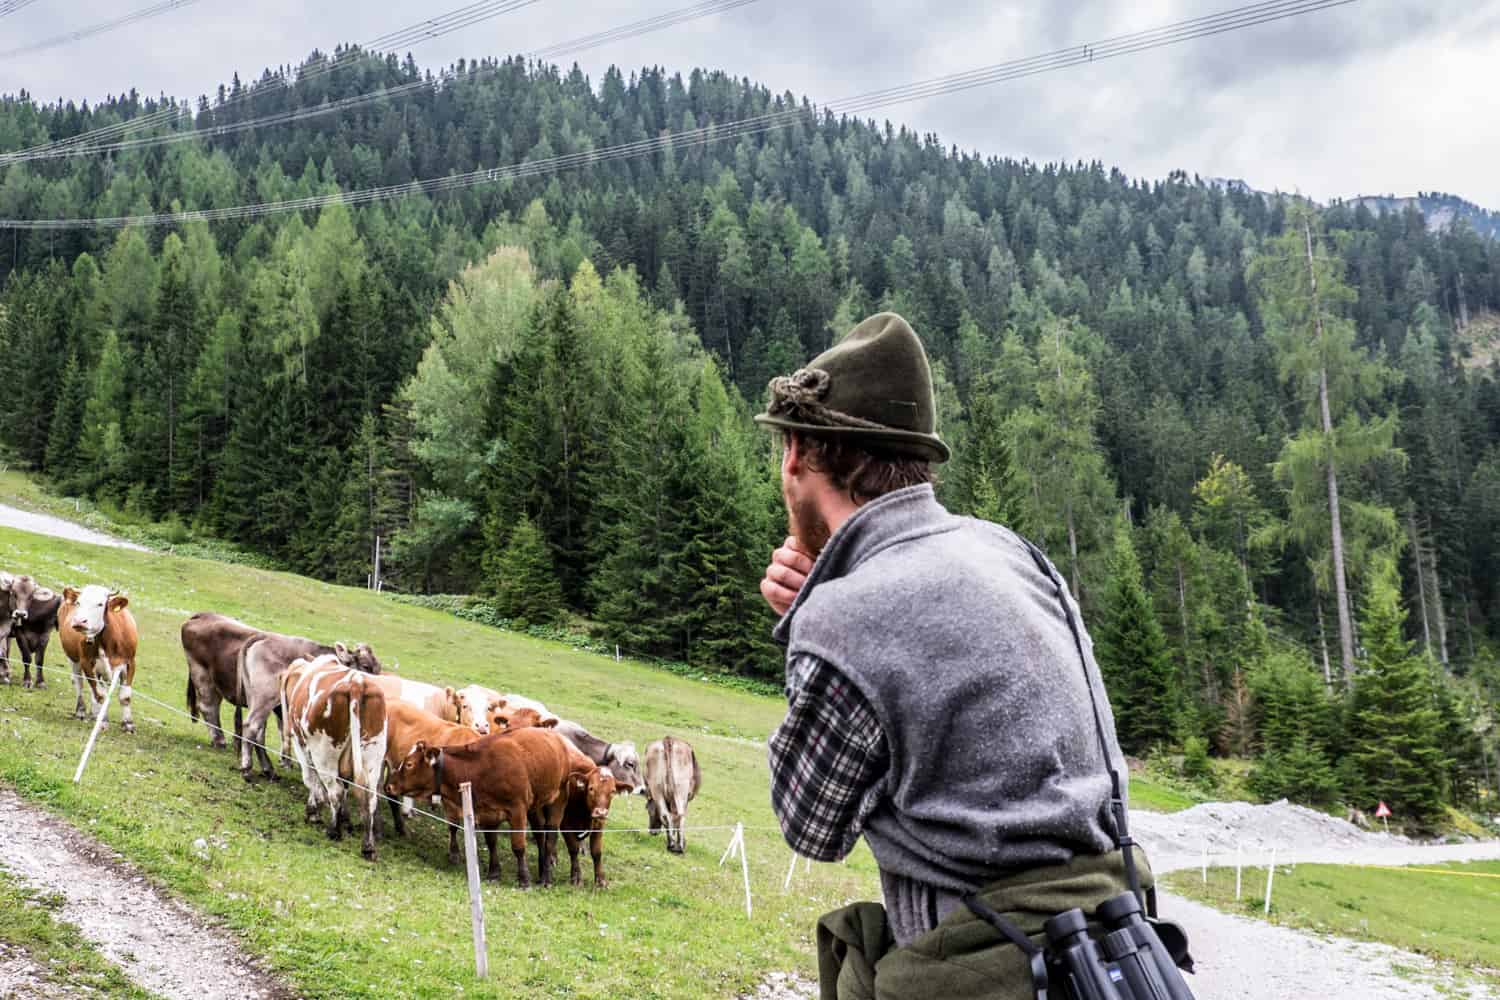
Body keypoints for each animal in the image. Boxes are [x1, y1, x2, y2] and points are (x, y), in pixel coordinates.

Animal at [57, 581, 139, 731]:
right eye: (78, 602)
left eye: (100, 604)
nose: (79, 621)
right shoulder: (87, 663)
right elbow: (100, 694)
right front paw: (103, 721)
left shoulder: (130, 662)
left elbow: (125, 696)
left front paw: (128, 724)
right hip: (73, 659)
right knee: (80, 683)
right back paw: (82, 711)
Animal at [280, 656, 390, 863]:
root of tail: (356, 683)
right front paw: (344, 817)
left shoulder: (301, 745)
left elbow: (310, 778)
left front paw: (313, 811)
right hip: (373, 755)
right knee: (370, 798)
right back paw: (368, 847)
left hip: (325, 753)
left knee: (335, 791)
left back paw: (334, 831)